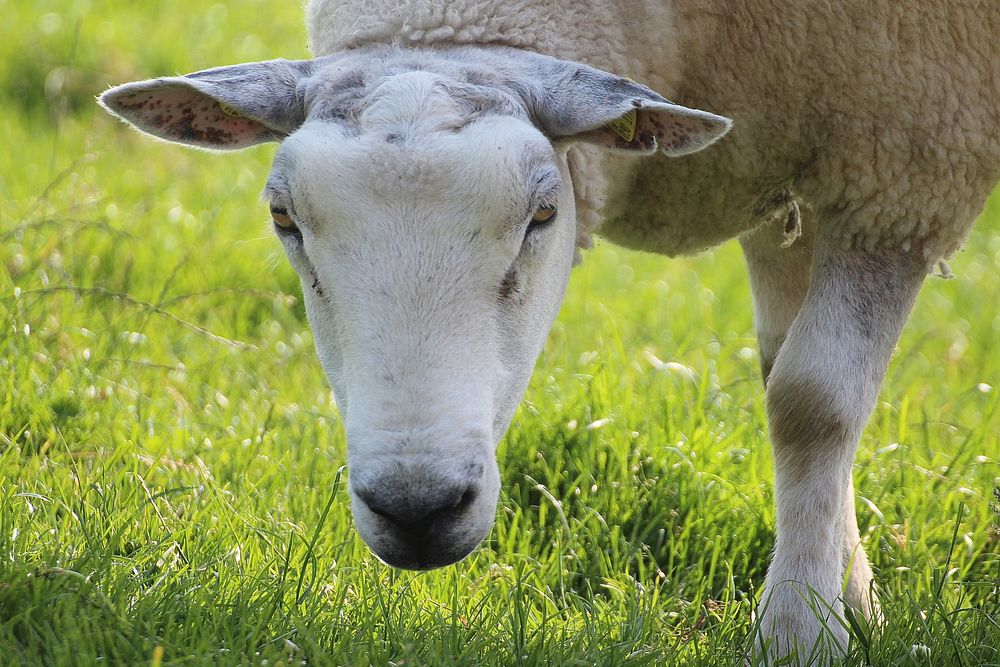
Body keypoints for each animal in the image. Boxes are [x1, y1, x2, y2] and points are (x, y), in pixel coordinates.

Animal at [99, 0, 1000, 664]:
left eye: (542, 214)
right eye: (283, 218)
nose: (417, 507)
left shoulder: (904, 163)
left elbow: (811, 401)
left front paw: (800, 632)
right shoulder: (790, 161)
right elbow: (786, 369)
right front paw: (850, 601)